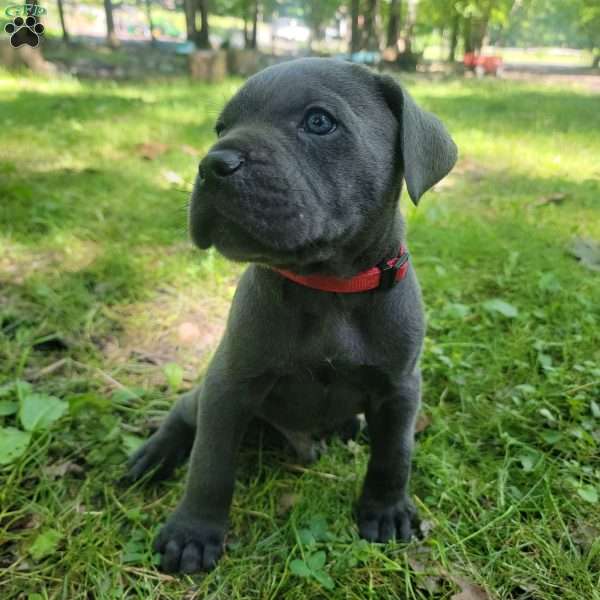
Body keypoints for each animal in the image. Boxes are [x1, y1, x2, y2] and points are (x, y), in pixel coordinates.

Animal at [125, 58, 454, 576]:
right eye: (220, 128)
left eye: (318, 121)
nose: (211, 164)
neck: (330, 286)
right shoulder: (228, 384)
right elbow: (210, 464)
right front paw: (193, 531)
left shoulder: (402, 386)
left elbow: (394, 454)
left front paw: (386, 511)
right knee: (183, 413)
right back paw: (155, 454)